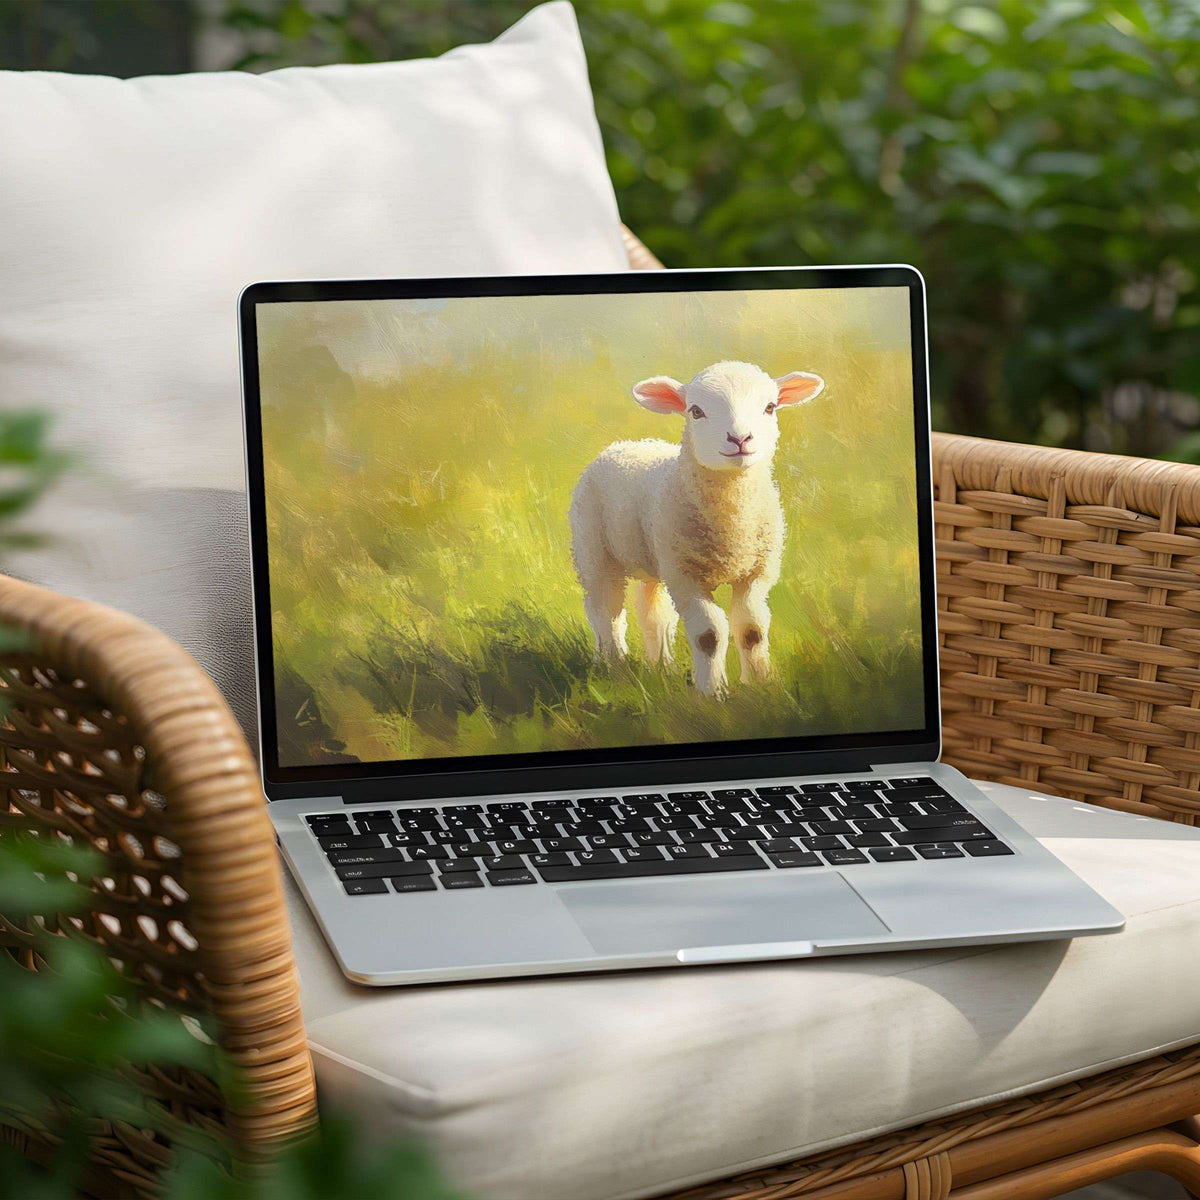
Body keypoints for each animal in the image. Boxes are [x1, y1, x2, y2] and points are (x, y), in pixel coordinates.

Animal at [569, 360, 825, 697]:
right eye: (696, 411)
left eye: (770, 407)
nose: (740, 439)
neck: (732, 529)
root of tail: (626, 445)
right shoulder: (686, 574)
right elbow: (709, 633)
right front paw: (713, 692)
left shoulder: (757, 571)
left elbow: (751, 628)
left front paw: (761, 684)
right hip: (594, 550)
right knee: (605, 611)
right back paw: (613, 665)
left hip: (656, 558)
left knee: (653, 613)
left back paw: (661, 666)